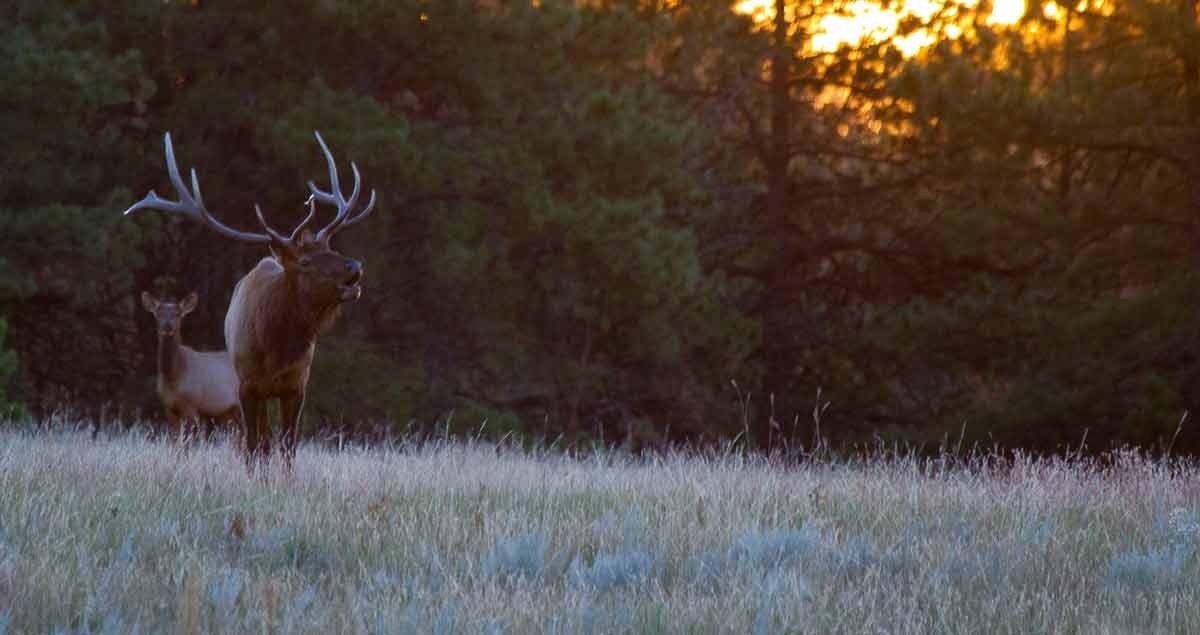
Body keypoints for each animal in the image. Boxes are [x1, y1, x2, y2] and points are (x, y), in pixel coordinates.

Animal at [141, 291, 242, 444]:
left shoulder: (192, 405)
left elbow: (190, 441)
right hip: (226, 411)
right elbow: (176, 440)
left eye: (177, 313)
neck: (175, 376)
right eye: (158, 313)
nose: (167, 326)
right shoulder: (169, 407)